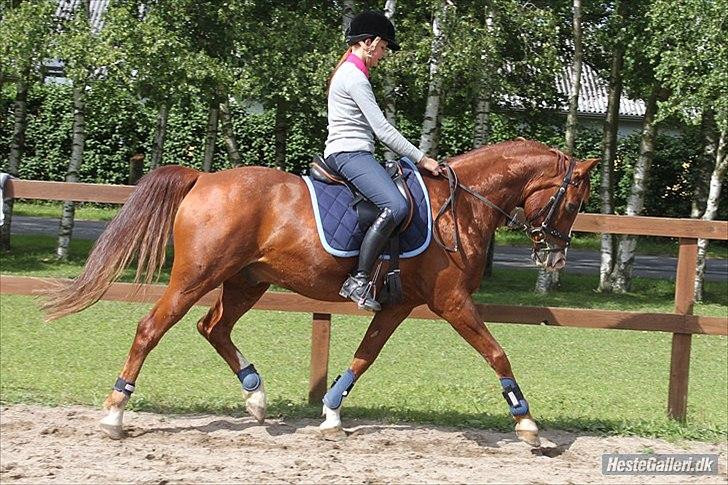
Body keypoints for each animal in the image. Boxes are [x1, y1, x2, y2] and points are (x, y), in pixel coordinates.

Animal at [41, 138, 596, 444]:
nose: (555, 257)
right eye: (573, 202)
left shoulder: (398, 304)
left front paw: (330, 413)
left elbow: (365, 355)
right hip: (195, 277)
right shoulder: (451, 302)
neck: (459, 207)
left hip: (246, 282)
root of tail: (203, 179)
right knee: (151, 328)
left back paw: (256, 396)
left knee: (212, 326)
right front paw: (528, 425)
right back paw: (115, 414)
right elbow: (497, 353)